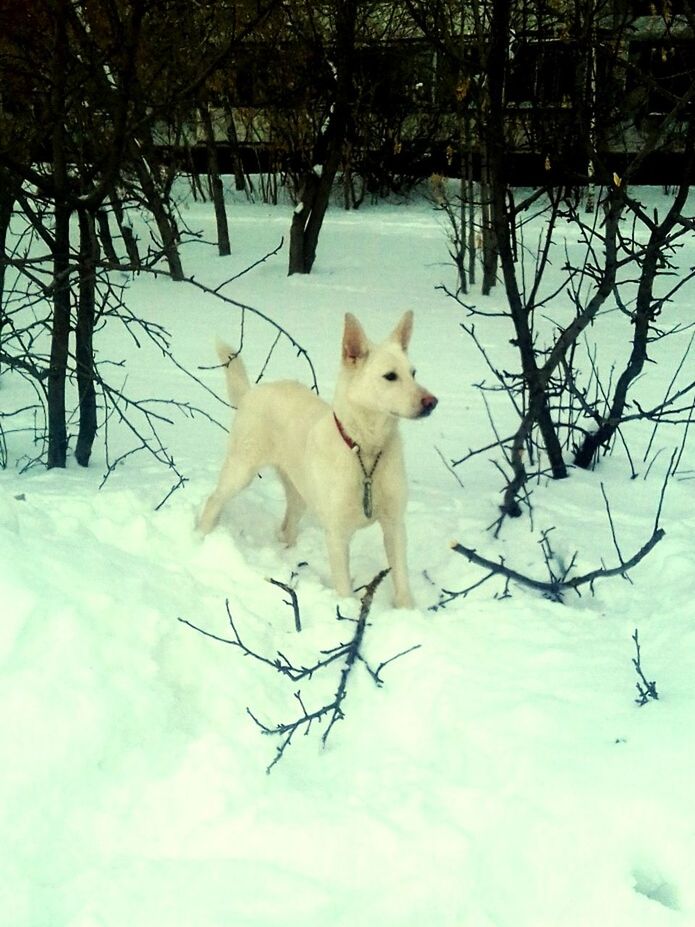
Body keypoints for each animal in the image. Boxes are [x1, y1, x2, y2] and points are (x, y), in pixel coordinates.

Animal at [197, 314, 436, 608]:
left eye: (413, 373)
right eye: (390, 376)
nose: (432, 402)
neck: (365, 452)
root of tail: (251, 392)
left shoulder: (394, 525)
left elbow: (401, 576)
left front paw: (407, 610)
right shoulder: (337, 533)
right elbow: (343, 586)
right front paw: (348, 610)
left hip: (300, 493)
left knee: (287, 526)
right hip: (241, 470)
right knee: (214, 499)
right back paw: (201, 537)